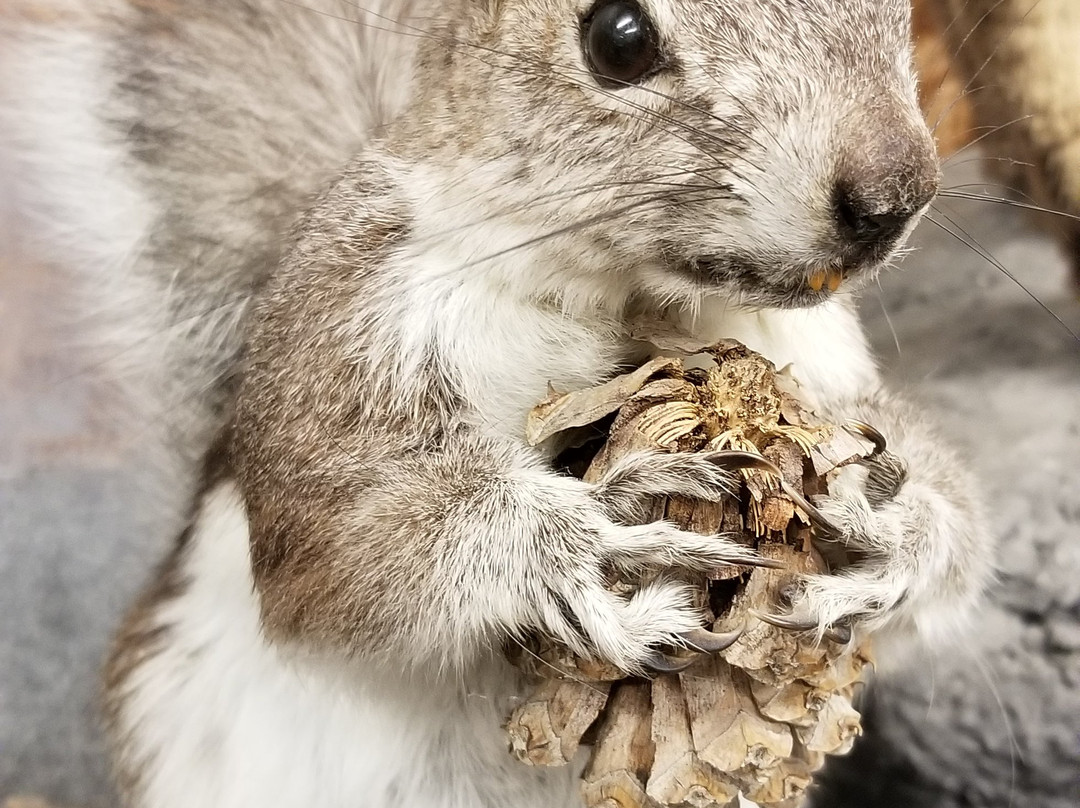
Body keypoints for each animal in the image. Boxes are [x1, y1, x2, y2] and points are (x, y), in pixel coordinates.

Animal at [2, 0, 993, 803]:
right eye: (617, 36)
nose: (895, 194)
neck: (638, 300)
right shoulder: (348, 331)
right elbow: (340, 554)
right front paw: (590, 530)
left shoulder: (825, 372)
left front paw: (901, 529)